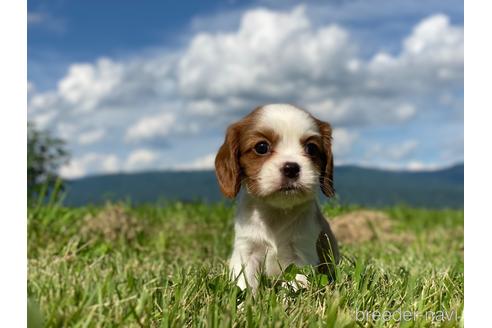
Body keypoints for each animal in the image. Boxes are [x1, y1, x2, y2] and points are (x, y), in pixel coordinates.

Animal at [215, 104, 338, 290]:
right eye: (261, 147)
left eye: (311, 148)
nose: (291, 168)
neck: (277, 211)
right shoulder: (246, 250)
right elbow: (244, 283)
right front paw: (244, 298)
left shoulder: (302, 253)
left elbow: (297, 284)